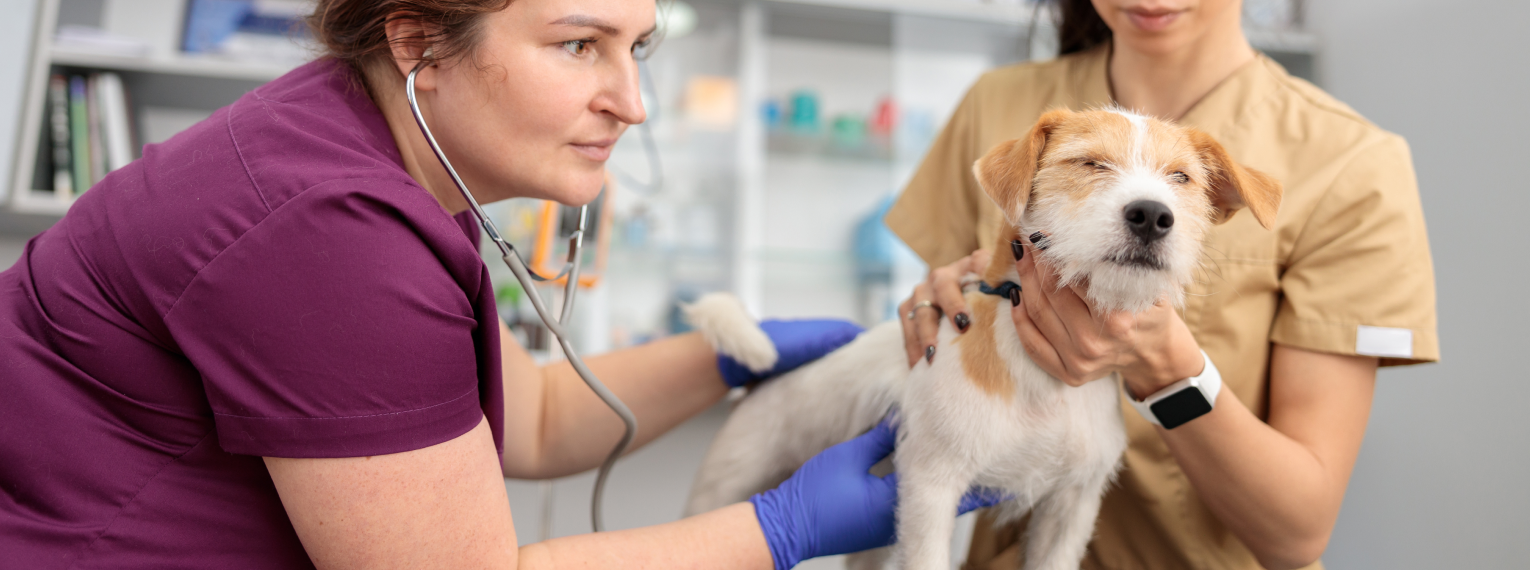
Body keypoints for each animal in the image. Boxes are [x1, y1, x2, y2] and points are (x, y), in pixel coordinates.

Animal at [682, 107, 1279, 568]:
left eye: (1181, 179)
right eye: (1091, 163)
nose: (1153, 215)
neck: (1046, 381)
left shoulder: (1071, 508)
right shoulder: (931, 490)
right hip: (724, 490)